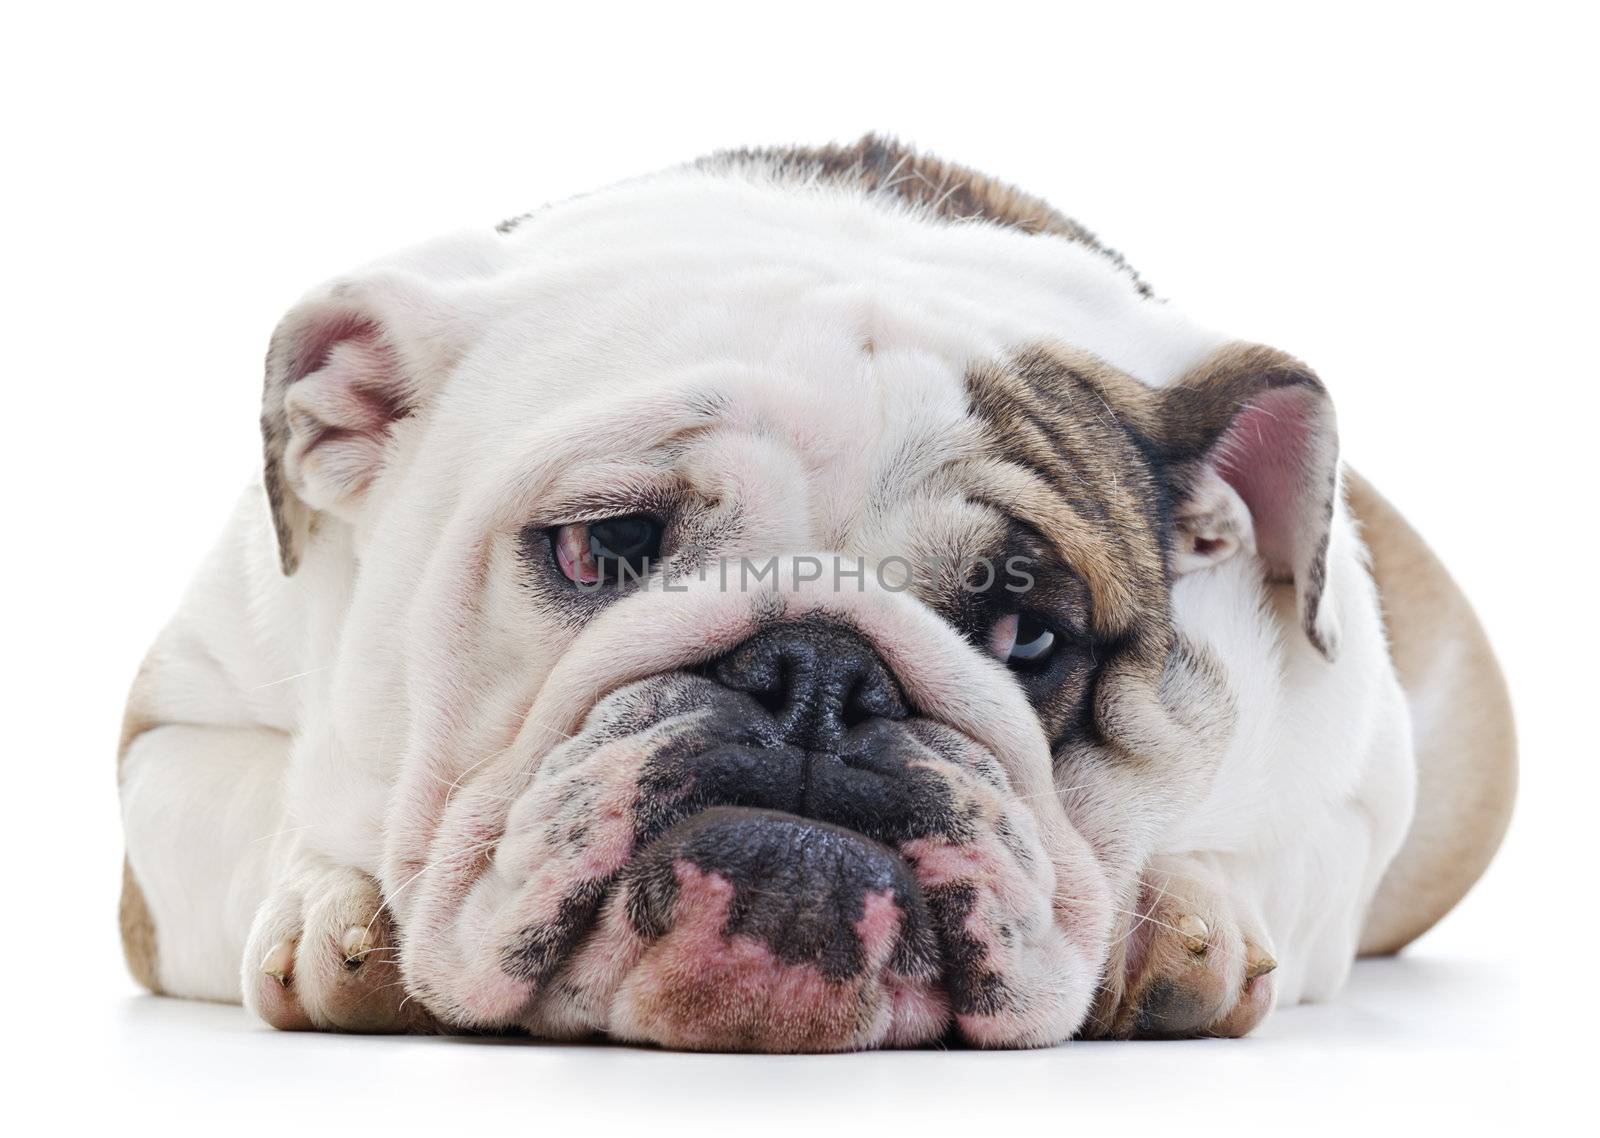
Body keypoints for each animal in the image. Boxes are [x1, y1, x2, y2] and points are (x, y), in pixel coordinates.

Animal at [118, 136, 1516, 1049]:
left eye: (1027, 633)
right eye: (601, 547)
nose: (819, 673)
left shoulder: (1356, 780)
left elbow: (1272, 854)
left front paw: (1181, 914)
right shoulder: (171, 735)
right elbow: (249, 806)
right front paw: (329, 900)